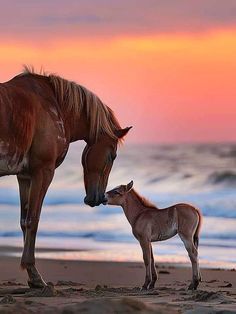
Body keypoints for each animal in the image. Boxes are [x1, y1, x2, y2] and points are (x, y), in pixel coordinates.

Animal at [0, 67, 132, 290]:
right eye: (112, 156)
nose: (98, 198)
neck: (53, 104)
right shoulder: (43, 172)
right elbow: (33, 220)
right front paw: (34, 274)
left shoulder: (24, 177)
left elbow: (23, 221)